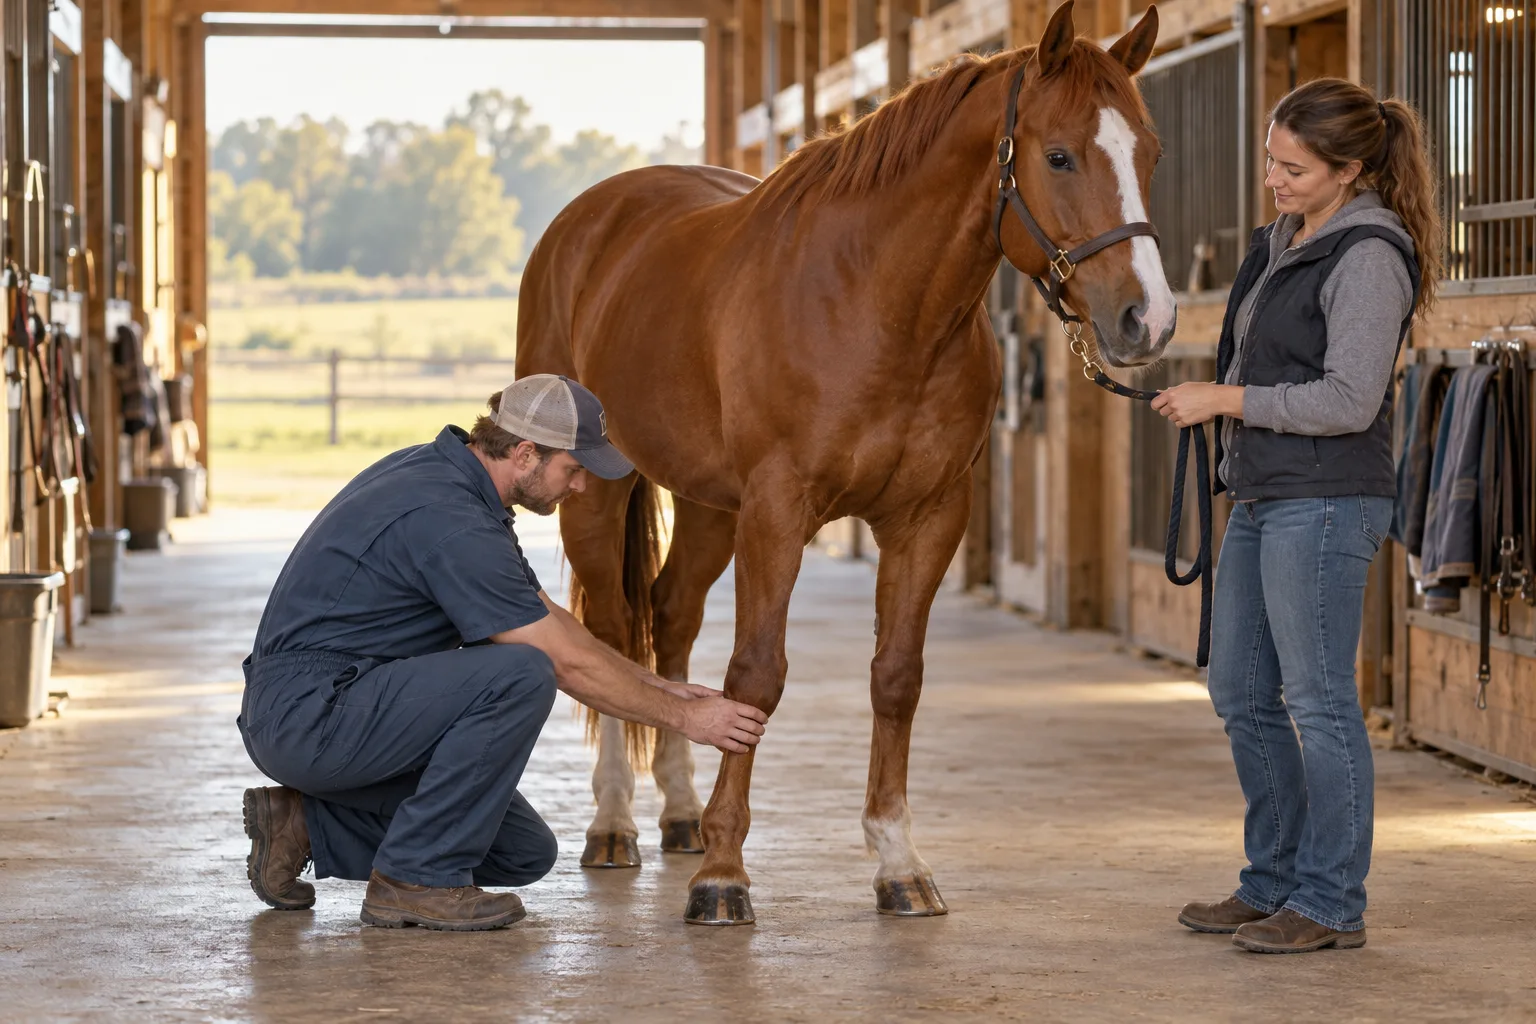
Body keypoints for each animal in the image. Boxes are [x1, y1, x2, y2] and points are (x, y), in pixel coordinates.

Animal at [514, 0, 1175, 925]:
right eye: (1059, 155)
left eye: (1149, 152)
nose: (1147, 320)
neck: (876, 304)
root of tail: (592, 219)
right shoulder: (778, 510)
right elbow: (755, 677)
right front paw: (723, 874)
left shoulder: (928, 516)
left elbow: (896, 677)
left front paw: (898, 861)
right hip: (600, 499)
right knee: (611, 630)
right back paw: (614, 824)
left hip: (710, 507)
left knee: (671, 621)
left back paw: (678, 814)